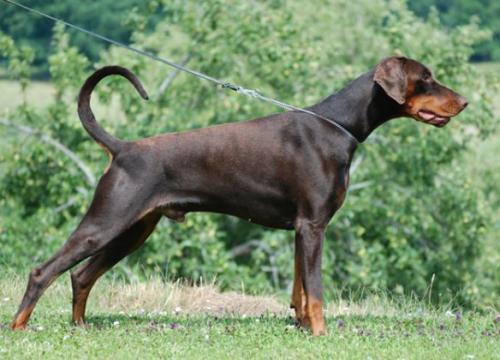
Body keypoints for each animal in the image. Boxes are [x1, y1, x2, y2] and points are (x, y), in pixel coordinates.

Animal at [9, 56, 466, 334]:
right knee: (44, 271)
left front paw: (302, 327)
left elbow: (300, 289)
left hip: (134, 229)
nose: (463, 101)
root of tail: (122, 148)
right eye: (426, 78)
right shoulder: (313, 225)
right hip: (106, 222)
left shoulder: (301, 227)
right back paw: (19, 327)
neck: (337, 125)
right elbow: (317, 290)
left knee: (81, 275)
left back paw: (80, 327)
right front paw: (321, 334)